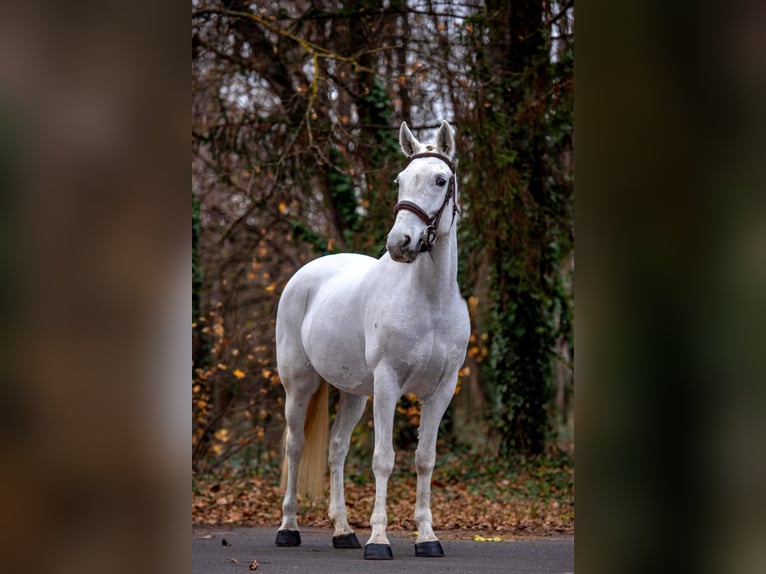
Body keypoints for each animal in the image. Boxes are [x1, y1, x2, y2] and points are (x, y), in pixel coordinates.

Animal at [274, 120, 470, 560]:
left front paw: (427, 538)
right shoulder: (388, 383)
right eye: (400, 180)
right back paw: (288, 528)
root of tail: (306, 274)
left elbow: (425, 459)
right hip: (300, 386)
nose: (401, 244)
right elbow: (383, 459)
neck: (429, 300)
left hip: (352, 395)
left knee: (336, 449)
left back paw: (343, 531)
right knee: (295, 446)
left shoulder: (442, 390)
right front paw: (379, 540)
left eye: (440, 179)